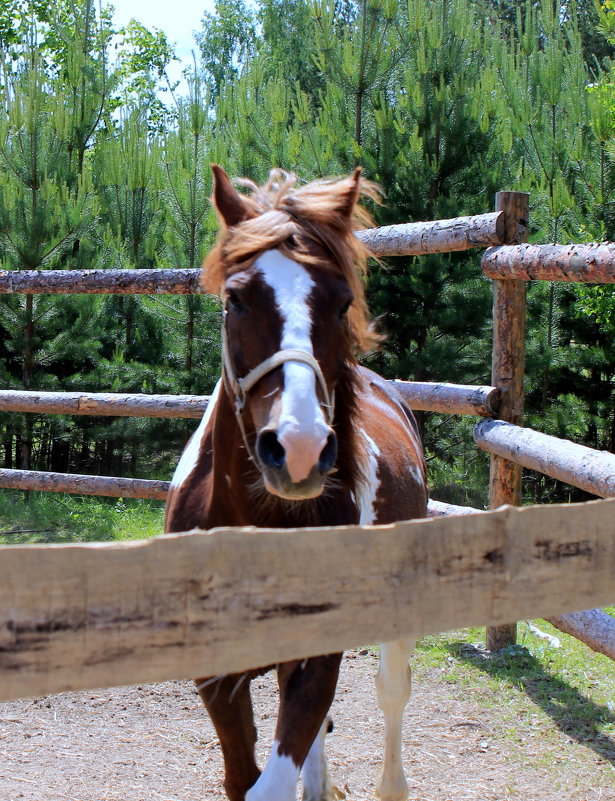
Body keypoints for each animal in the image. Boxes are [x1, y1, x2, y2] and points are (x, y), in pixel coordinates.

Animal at [165, 167, 428, 800]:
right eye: (235, 299)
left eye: (343, 302)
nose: (300, 448)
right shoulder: (217, 672)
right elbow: (245, 777)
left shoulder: (316, 656)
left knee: (392, 690)